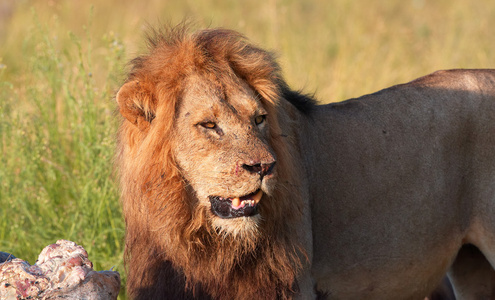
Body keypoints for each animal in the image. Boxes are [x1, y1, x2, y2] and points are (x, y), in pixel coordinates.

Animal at [114, 26, 495, 300]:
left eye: (259, 119)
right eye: (209, 125)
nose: (264, 168)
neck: (198, 240)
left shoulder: (294, 286)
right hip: (471, 266)